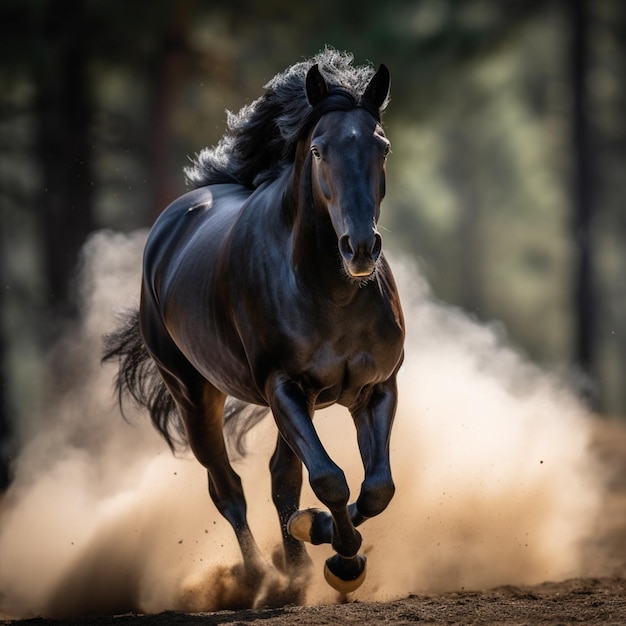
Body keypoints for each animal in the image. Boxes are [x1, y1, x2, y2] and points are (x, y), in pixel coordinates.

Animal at [104, 50, 402, 596]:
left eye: (382, 147)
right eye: (319, 150)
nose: (360, 249)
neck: (329, 291)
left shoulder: (376, 388)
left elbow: (375, 488)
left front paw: (327, 542)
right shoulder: (283, 386)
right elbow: (330, 479)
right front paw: (342, 559)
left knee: (281, 478)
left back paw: (295, 566)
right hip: (194, 394)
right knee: (228, 488)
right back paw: (261, 578)